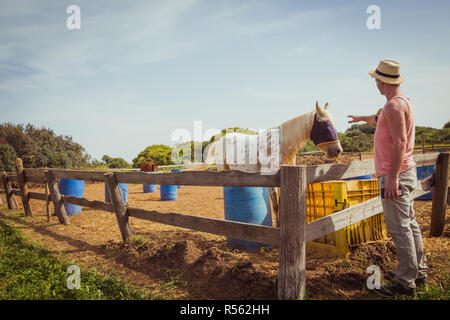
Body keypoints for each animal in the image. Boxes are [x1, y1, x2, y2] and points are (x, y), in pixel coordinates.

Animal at [185, 102, 342, 225]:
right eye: (325, 126)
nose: (338, 150)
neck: (280, 144)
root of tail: (219, 141)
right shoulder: (271, 178)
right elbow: (275, 205)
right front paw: (277, 226)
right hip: (223, 169)